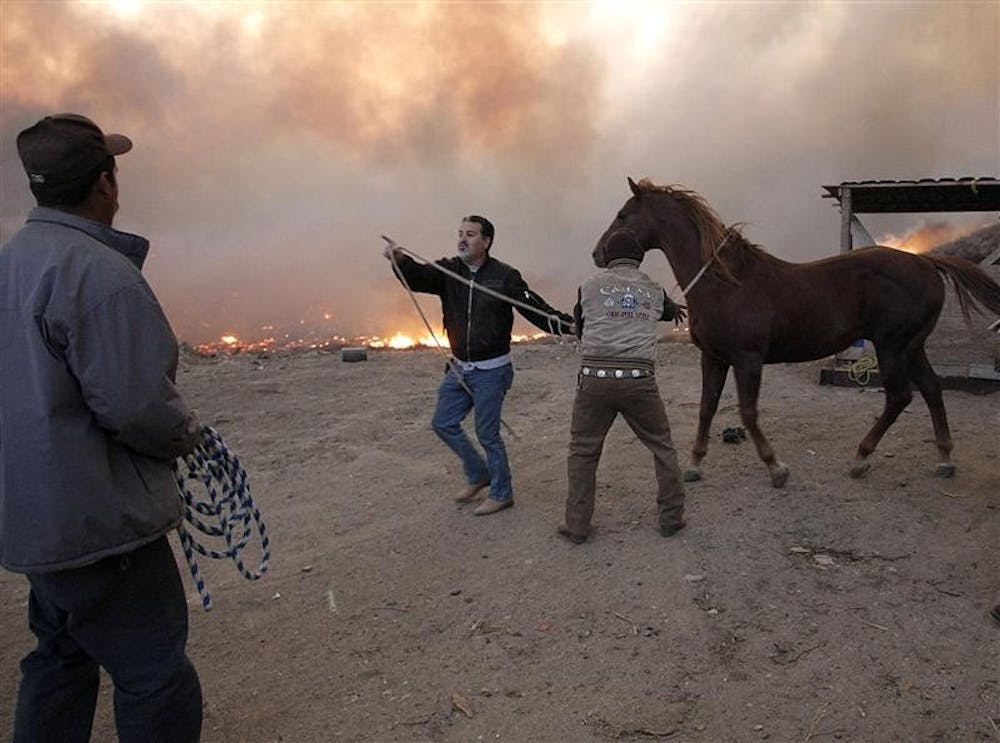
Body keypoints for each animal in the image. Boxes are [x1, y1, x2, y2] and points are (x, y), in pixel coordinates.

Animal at [592, 179, 1000, 488]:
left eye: (623, 214)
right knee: (931, 390)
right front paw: (694, 464)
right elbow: (707, 408)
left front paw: (776, 467)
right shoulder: (714, 358)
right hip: (912, 347)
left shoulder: (747, 359)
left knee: (900, 397)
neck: (726, 282)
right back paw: (944, 458)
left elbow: (748, 412)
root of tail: (926, 262)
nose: (598, 253)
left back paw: (861, 457)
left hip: (892, 347)